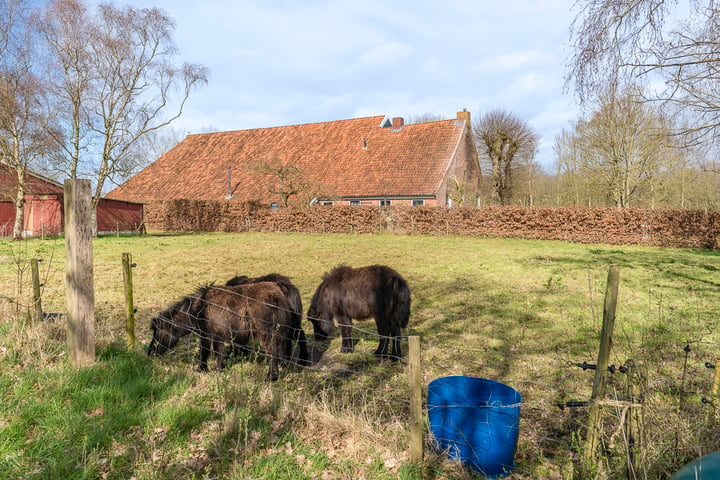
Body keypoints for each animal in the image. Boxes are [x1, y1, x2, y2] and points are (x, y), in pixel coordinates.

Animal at [146, 280, 304, 380]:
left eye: (157, 332)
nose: (150, 352)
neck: (197, 308)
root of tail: (280, 289)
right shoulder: (219, 336)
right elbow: (219, 353)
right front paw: (219, 370)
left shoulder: (207, 335)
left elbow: (205, 352)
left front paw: (202, 370)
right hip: (282, 333)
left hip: (267, 335)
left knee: (273, 353)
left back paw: (270, 377)